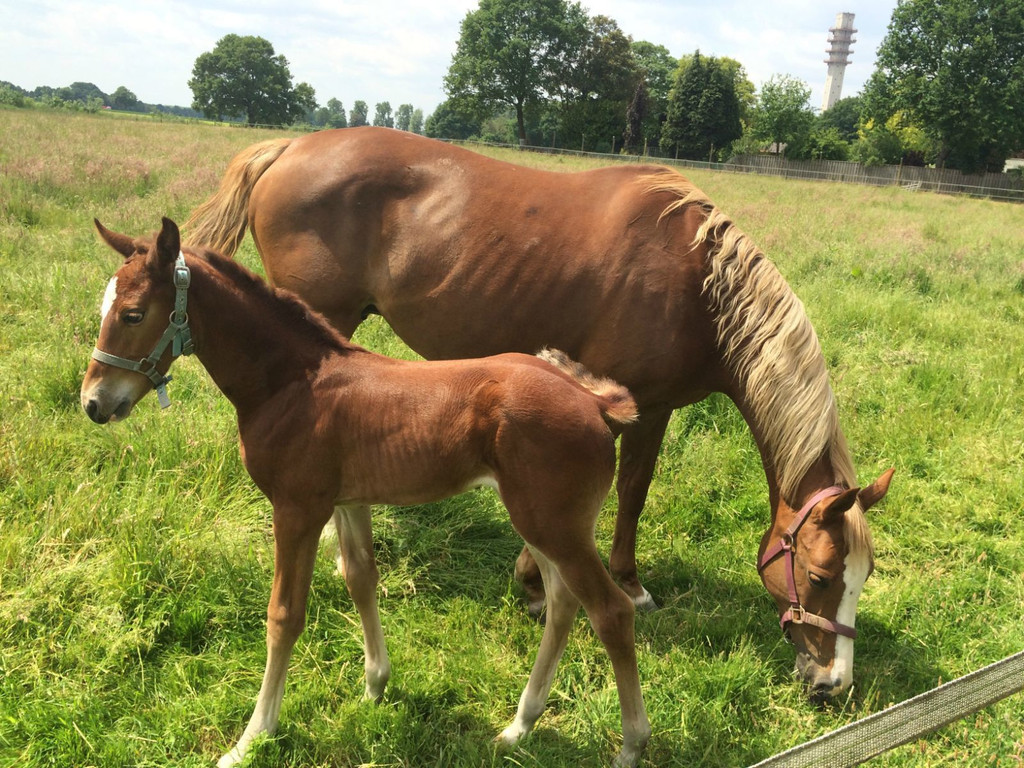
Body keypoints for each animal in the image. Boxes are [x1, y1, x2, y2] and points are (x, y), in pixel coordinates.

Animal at [83, 217, 651, 768]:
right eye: (104, 308)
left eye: (133, 315)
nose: (93, 402)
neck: (290, 383)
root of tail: (593, 401)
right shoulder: (347, 501)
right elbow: (360, 577)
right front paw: (375, 685)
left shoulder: (297, 509)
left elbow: (284, 615)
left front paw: (252, 738)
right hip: (540, 521)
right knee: (562, 601)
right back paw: (519, 726)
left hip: (552, 523)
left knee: (610, 611)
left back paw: (630, 744)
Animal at [188, 128, 892, 704]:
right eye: (823, 575)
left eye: (865, 575)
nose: (834, 684)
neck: (695, 281)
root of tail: (289, 146)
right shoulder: (636, 407)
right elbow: (628, 492)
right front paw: (578, 583)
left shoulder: (653, 407)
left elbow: (631, 492)